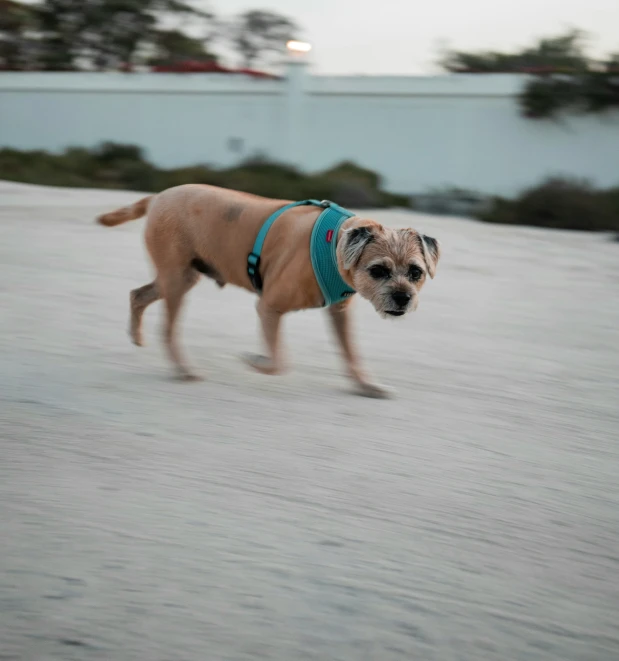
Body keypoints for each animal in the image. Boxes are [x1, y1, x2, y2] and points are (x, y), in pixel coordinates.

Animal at [95, 183, 440, 398]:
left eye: (416, 272)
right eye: (378, 270)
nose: (403, 298)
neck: (336, 246)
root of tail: (156, 198)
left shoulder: (339, 314)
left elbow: (352, 356)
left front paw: (367, 386)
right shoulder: (269, 307)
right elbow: (278, 363)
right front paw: (254, 360)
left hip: (180, 277)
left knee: (137, 295)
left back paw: (137, 336)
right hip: (177, 280)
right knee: (167, 330)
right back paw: (184, 369)